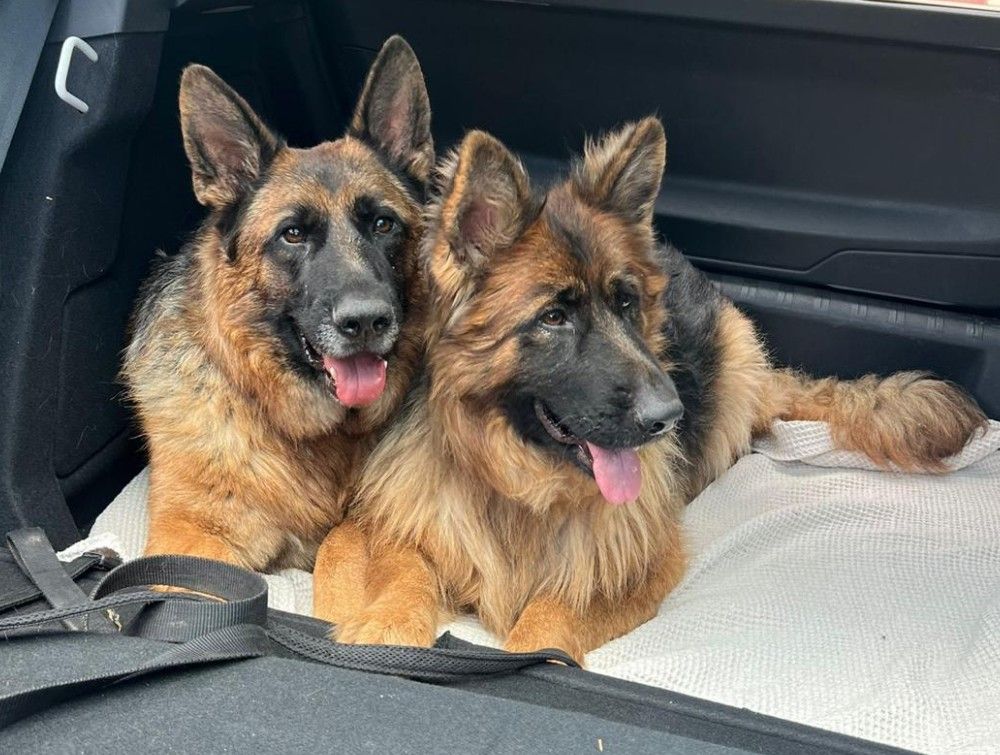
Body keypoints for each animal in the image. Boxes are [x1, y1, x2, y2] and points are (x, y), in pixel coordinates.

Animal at [313, 120, 987, 662]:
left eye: (626, 303)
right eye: (554, 318)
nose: (669, 417)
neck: (518, 487)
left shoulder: (631, 562)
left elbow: (550, 619)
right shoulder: (404, 526)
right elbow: (403, 579)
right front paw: (386, 632)